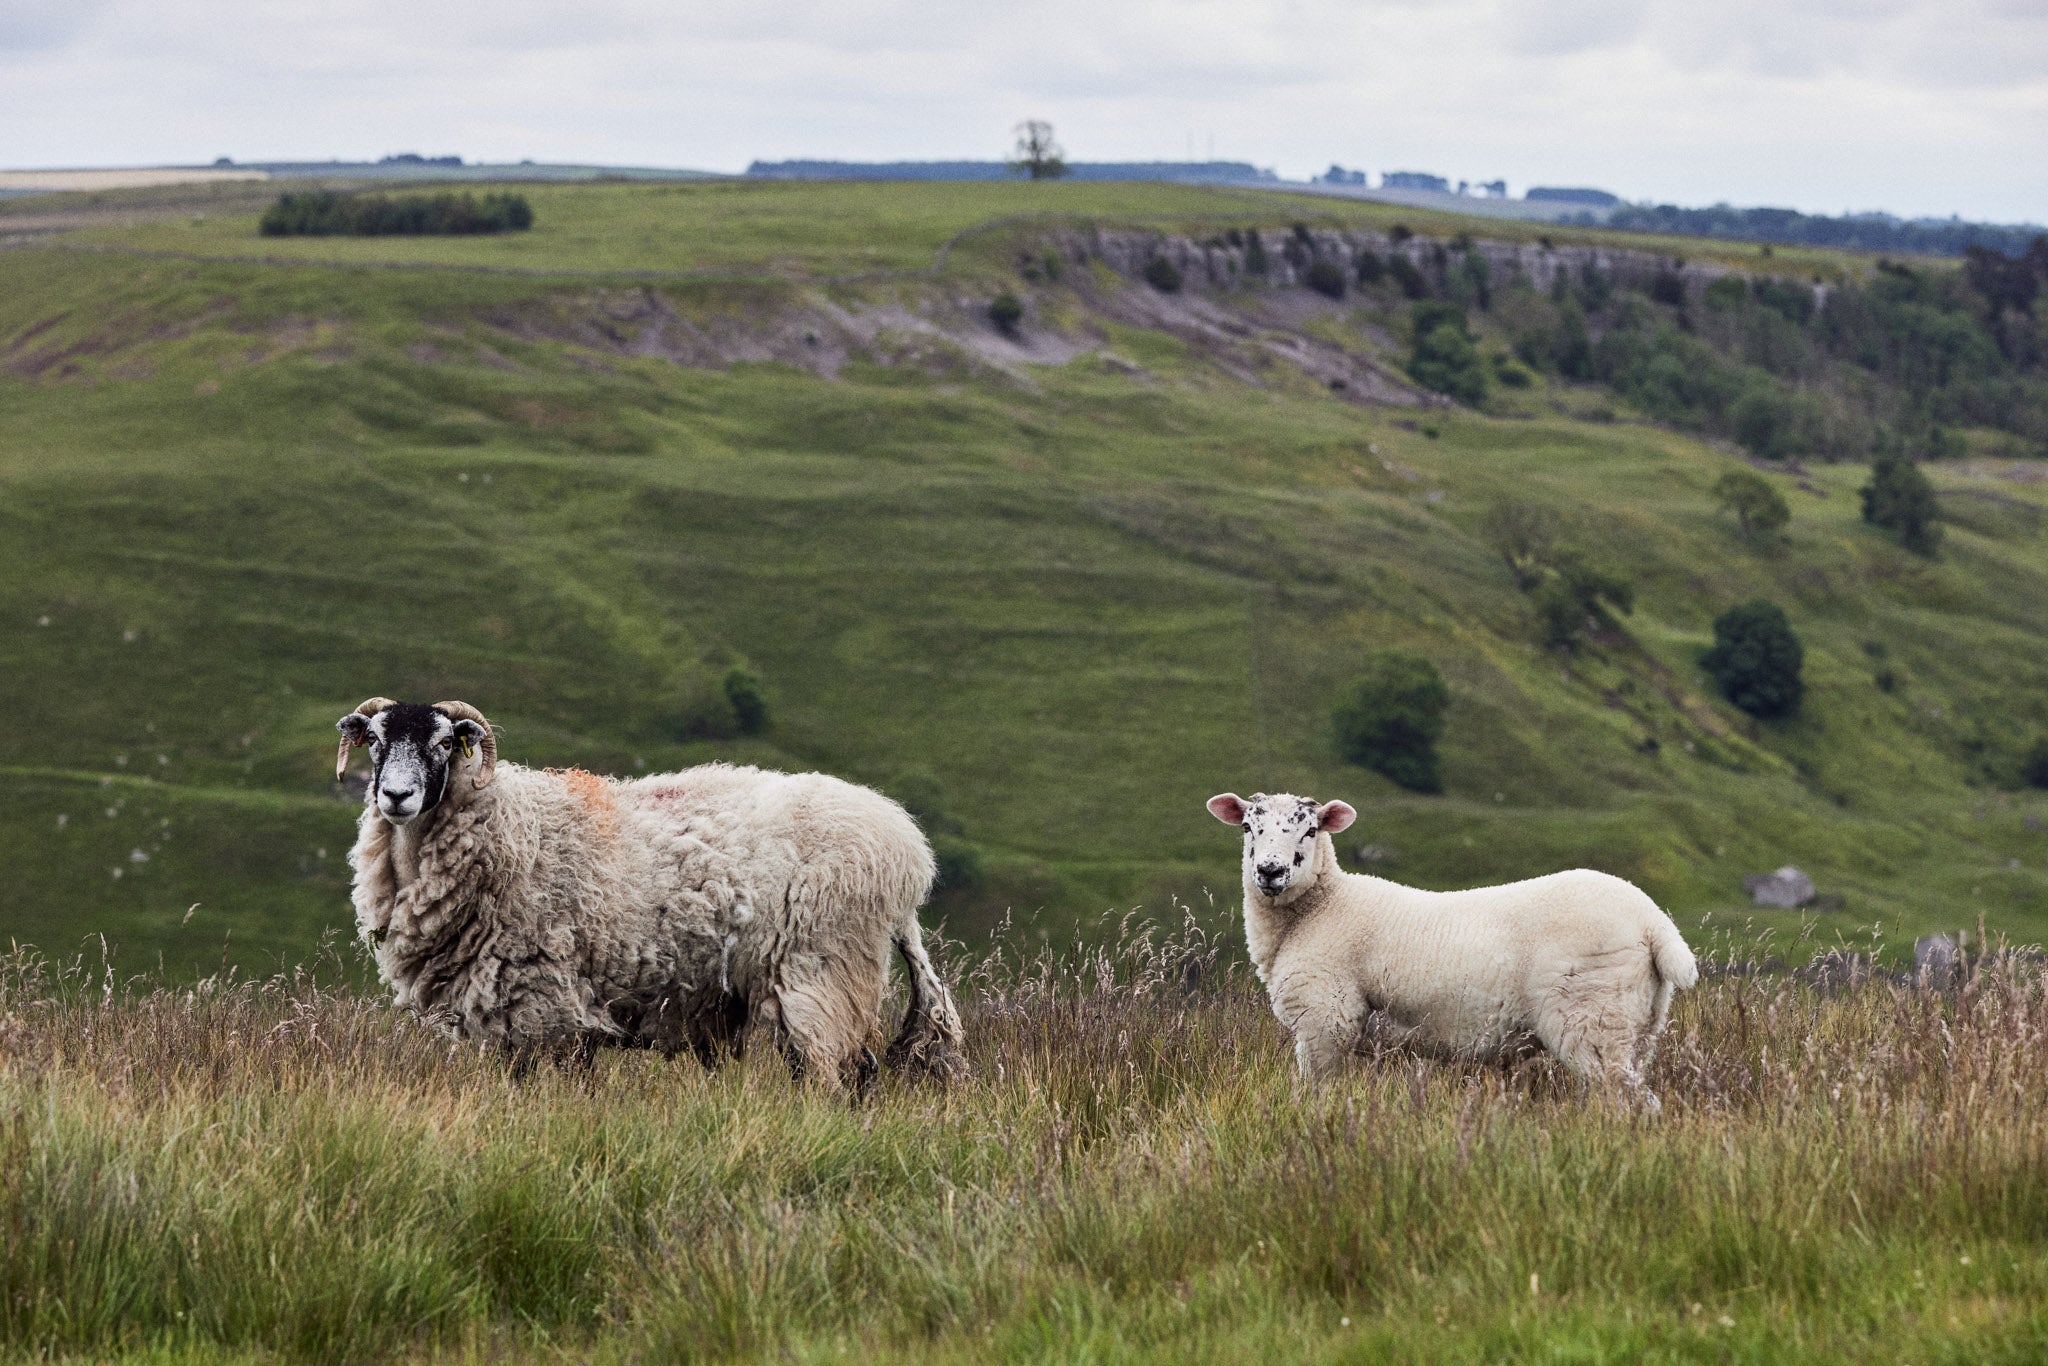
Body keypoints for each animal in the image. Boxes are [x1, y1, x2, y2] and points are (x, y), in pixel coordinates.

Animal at [335, 697, 965, 1091]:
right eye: (376, 741)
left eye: (445, 743)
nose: (396, 796)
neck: (512, 825)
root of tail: (906, 851)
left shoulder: (541, 1004)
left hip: (822, 972)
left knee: (835, 1076)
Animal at [1206, 791, 1697, 1107]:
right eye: (1249, 826)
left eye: (1309, 832)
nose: (1270, 871)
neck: (1320, 908)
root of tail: (1653, 922)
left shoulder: (1325, 1022)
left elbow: (1316, 1096)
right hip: (1638, 1027)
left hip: (1591, 1018)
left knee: (1629, 1101)